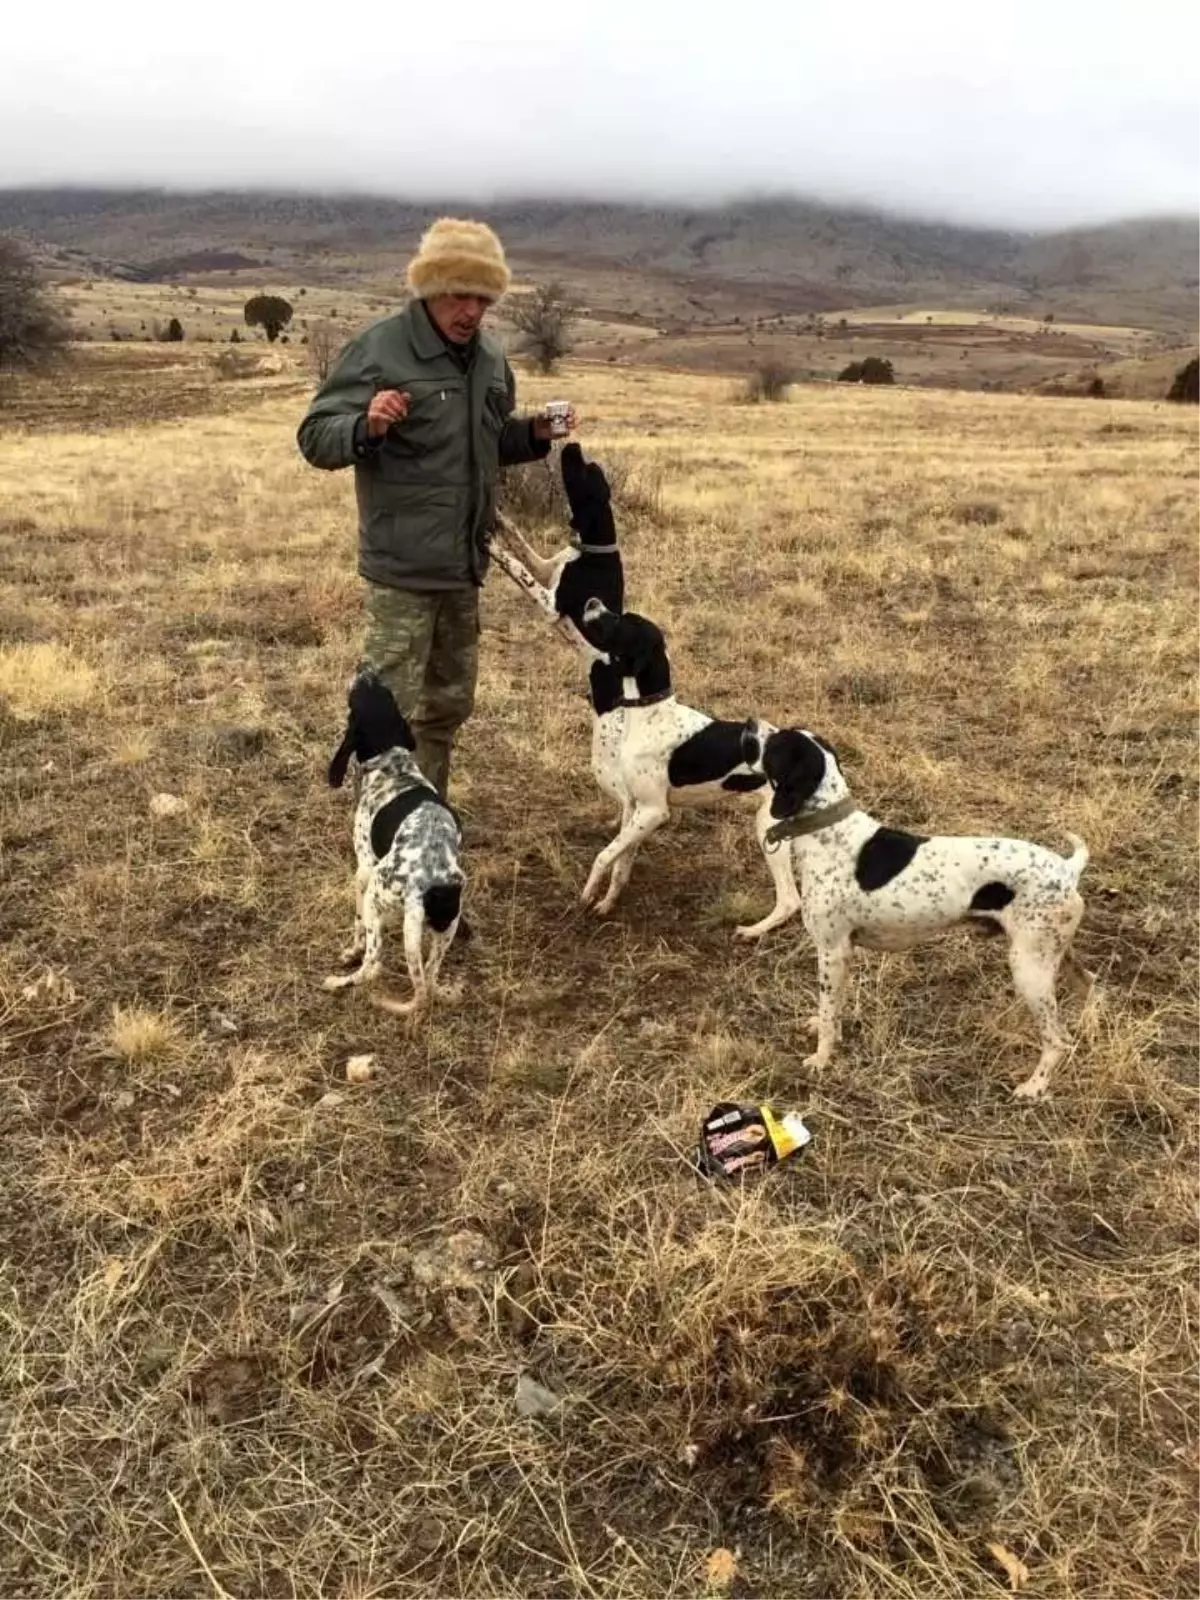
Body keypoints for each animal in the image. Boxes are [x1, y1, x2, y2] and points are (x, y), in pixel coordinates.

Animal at [324, 668, 464, 1017]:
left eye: (358, 696)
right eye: (386, 692)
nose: (367, 671)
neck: (394, 766)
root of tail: (421, 887)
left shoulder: (362, 869)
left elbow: (357, 926)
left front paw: (351, 951)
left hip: (375, 893)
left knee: (373, 964)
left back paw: (340, 982)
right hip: (448, 923)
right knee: (430, 973)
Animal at [579, 601, 793, 921]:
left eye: (621, 620)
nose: (592, 601)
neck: (650, 714)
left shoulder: (654, 812)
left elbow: (603, 856)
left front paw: (588, 893)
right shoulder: (635, 808)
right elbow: (620, 863)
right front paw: (608, 902)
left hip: (770, 828)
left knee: (791, 900)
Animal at [739, 726, 1094, 1100]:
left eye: (775, 742)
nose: (748, 725)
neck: (830, 832)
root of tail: (1067, 870)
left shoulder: (832, 951)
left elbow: (827, 1008)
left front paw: (821, 1059)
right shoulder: (844, 953)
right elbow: (832, 1009)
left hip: (1029, 969)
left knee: (1057, 1039)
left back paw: (1034, 1086)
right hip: (1054, 956)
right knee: (1089, 984)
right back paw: (1090, 1028)